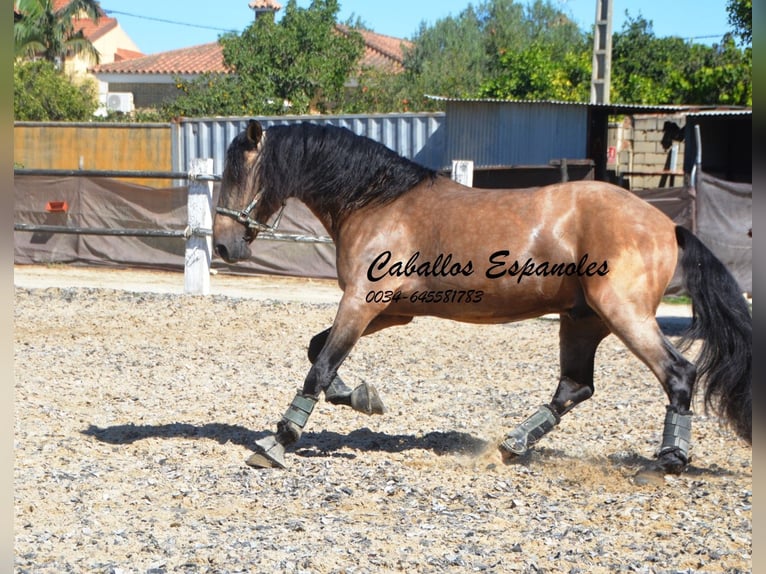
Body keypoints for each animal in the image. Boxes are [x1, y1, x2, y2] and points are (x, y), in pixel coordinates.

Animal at [213, 120, 752, 472]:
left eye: (238, 174)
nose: (222, 246)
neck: (377, 202)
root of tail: (666, 224)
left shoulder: (363, 302)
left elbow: (320, 365)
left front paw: (278, 441)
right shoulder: (393, 311)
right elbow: (317, 351)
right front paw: (362, 398)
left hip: (623, 315)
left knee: (678, 374)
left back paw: (668, 461)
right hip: (582, 319)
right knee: (574, 386)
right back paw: (513, 444)